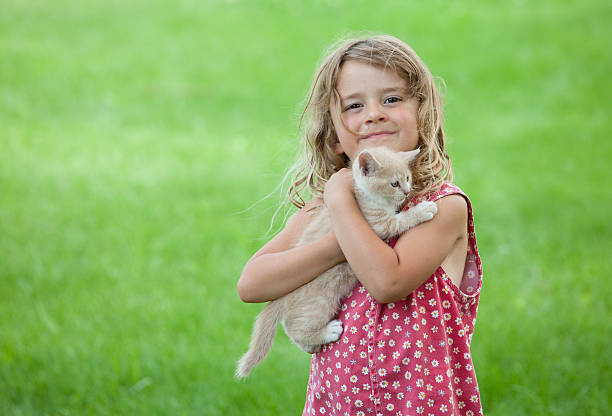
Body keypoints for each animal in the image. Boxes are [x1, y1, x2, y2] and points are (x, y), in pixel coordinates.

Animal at [235, 148, 440, 378]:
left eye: (407, 178)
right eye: (394, 183)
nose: (406, 192)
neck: (368, 197)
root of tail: (282, 296)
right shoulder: (376, 224)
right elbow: (400, 220)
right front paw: (423, 210)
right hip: (319, 303)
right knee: (297, 329)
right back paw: (328, 332)